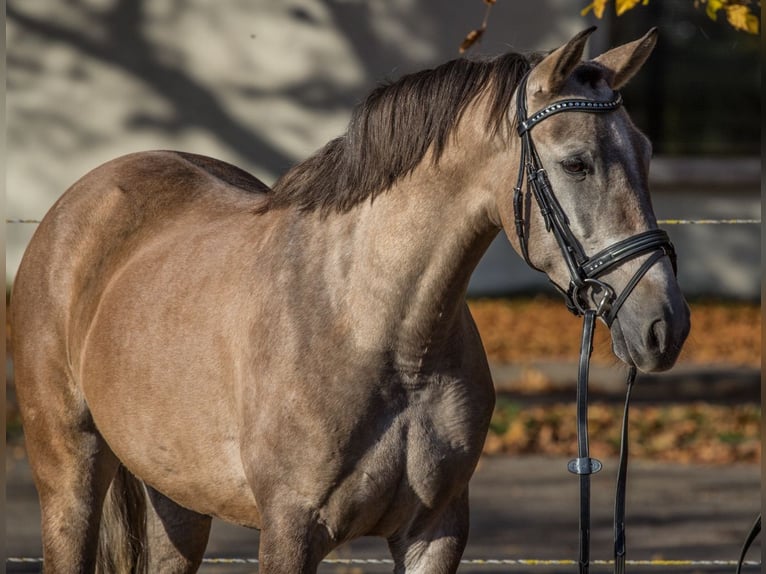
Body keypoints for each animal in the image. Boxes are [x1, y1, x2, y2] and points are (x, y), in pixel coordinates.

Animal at [9, 28, 692, 574]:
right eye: (577, 164)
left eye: (647, 153)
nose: (665, 326)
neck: (380, 332)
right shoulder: (290, 531)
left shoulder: (435, 533)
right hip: (70, 477)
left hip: (177, 498)